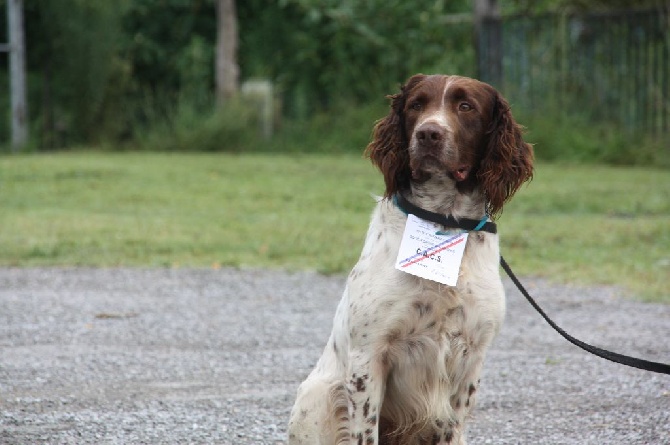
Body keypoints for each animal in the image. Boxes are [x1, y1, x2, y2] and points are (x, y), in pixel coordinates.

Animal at [288, 73, 536, 444]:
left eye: (466, 106)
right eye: (416, 104)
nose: (429, 133)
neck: (443, 222)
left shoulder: (470, 360)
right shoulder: (368, 356)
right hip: (317, 396)